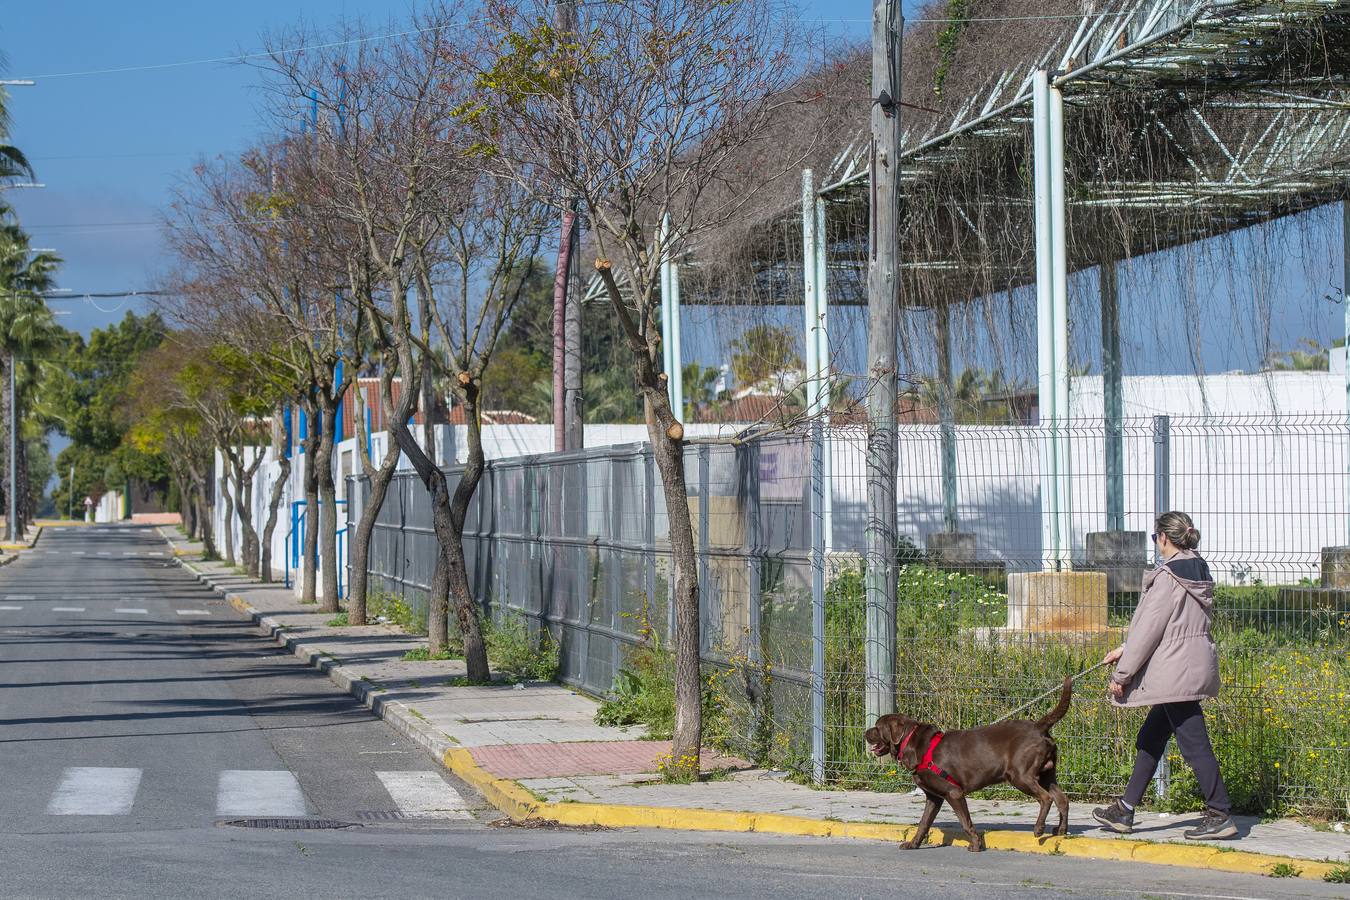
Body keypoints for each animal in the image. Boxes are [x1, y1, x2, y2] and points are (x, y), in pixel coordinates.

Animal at [864, 682, 1074, 852]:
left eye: (877, 727)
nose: (865, 732)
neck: (912, 743)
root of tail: (1038, 727)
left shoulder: (954, 792)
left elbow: (965, 822)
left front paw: (975, 845)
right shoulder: (933, 797)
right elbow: (924, 823)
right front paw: (913, 844)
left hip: (1020, 775)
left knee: (1046, 798)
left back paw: (1039, 829)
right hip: (1046, 774)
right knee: (1061, 798)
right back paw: (1061, 830)